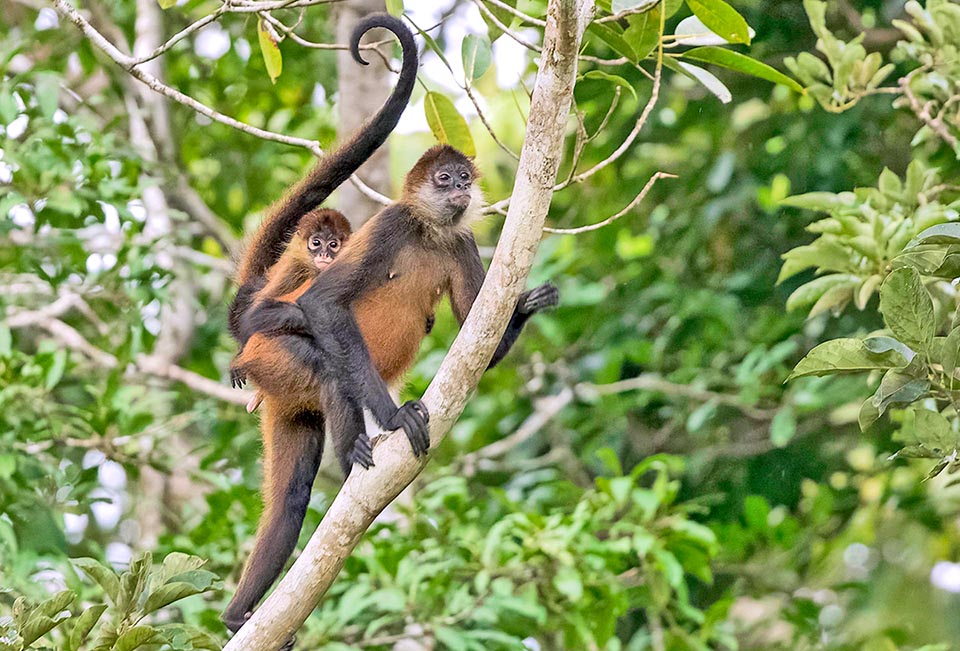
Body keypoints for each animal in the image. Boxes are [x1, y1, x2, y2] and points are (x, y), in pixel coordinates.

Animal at [225, 12, 420, 636]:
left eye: (335, 244)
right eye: (319, 245)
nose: (327, 253)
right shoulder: (296, 272)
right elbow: (284, 316)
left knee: (289, 500)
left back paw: (236, 617)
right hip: (277, 367)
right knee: (317, 364)